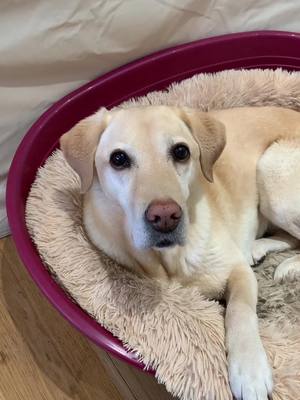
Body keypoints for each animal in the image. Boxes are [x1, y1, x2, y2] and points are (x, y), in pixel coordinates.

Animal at [59, 106, 300, 400]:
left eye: (181, 152)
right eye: (118, 159)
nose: (165, 217)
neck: (170, 261)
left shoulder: (238, 271)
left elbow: (239, 311)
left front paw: (249, 369)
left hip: (272, 171)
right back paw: (259, 248)